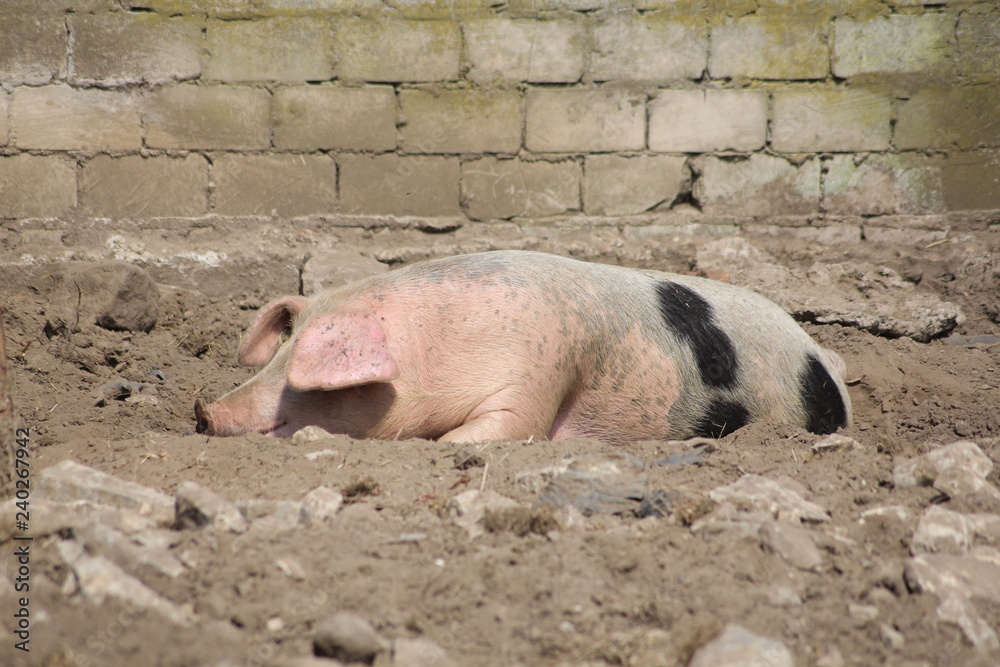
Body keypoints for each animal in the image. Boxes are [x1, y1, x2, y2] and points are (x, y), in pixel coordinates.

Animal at [195, 250, 851, 445]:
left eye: (300, 378)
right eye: (278, 355)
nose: (203, 410)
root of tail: (829, 361)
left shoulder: (541, 371)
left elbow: (503, 431)